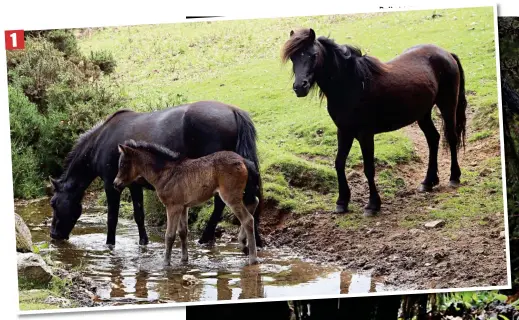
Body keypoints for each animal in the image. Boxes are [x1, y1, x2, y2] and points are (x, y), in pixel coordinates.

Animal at [49, 101, 264, 246]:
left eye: (53, 203)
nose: (53, 235)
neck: (100, 142)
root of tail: (233, 110)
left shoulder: (111, 185)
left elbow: (112, 218)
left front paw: (110, 244)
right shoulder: (133, 185)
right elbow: (139, 214)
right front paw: (143, 241)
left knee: (221, 204)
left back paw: (205, 238)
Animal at [114, 139, 260, 264]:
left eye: (123, 164)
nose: (115, 184)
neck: (166, 173)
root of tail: (243, 160)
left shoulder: (172, 207)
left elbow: (170, 235)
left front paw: (166, 262)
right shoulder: (183, 206)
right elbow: (183, 232)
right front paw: (184, 259)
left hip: (230, 196)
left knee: (248, 219)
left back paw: (252, 257)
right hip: (241, 193)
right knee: (254, 202)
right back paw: (244, 245)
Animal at [282, 28, 470, 216]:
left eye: (313, 55)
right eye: (293, 57)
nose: (300, 87)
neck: (352, 84)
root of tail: (446, 53)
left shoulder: (365, 135)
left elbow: (369, 168)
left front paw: (372, 204)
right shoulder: (344, 131)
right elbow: (339, 163)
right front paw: (342, 202)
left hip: (447, 105)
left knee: (451, 137)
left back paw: (454, 177)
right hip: (423, 114)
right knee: (433, 139)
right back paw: (428, 182)